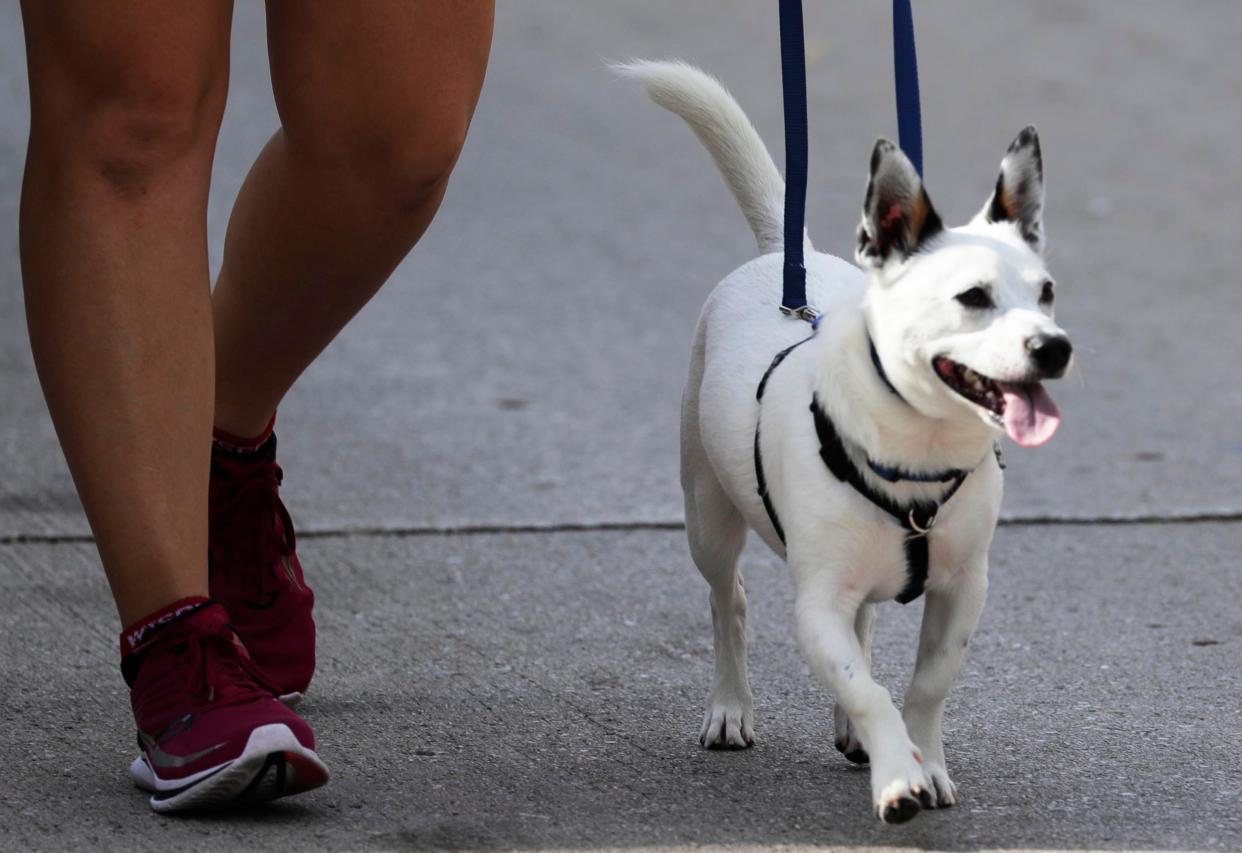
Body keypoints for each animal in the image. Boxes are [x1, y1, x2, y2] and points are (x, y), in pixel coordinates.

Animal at [621, 58, 1068, 819]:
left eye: (1047, 293)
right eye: (973, 297)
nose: (1055, 347)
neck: (918, 451)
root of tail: (788, 254)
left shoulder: (963, 590)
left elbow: (923, 684)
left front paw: (925, 763)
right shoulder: (816, 604)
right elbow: (867, 688)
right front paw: (897, 776)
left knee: (860, 627)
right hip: (707, 516)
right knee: (728, 602)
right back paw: (731, 707)